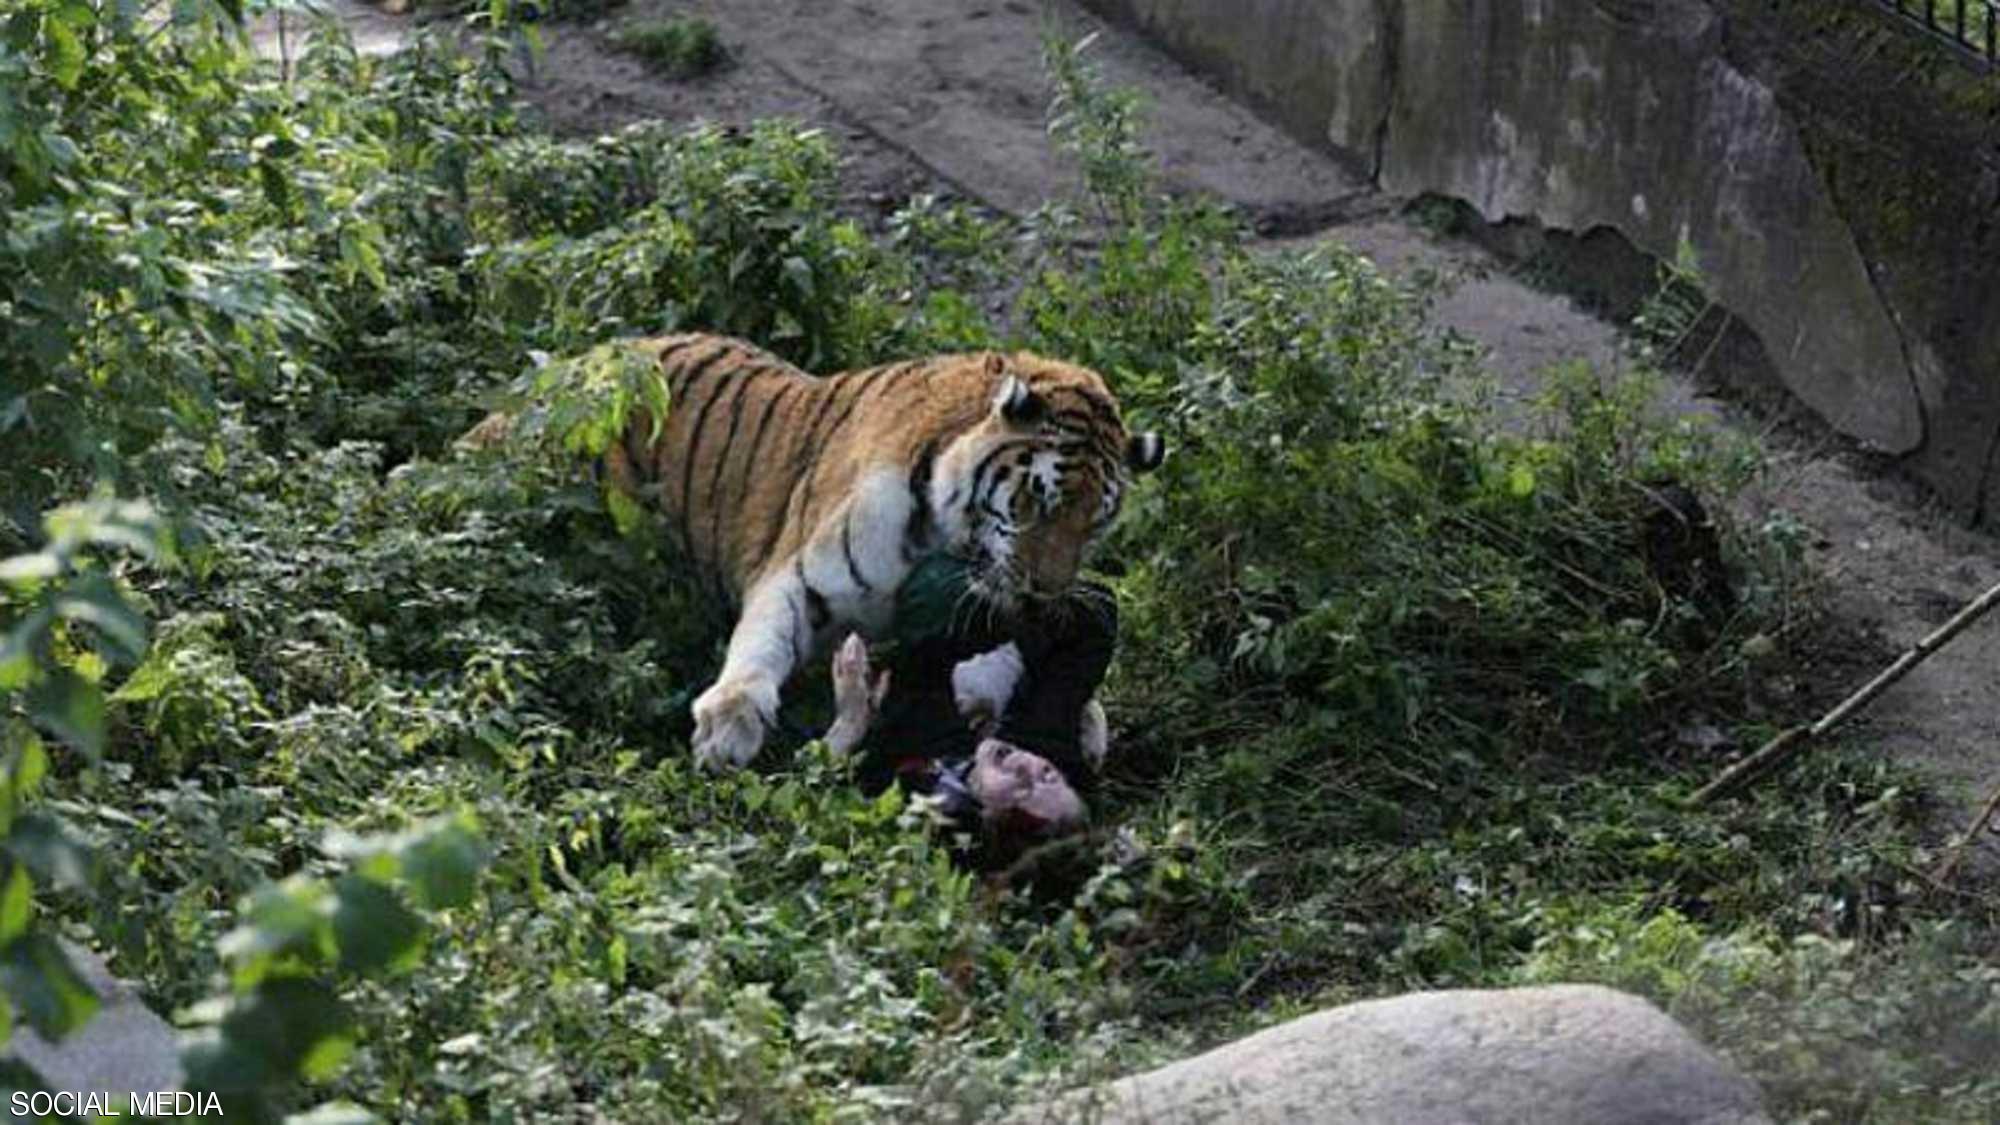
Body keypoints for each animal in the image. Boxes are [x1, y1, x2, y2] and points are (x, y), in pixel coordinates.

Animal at [469, 331, 1164, 771]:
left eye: (1093, 525)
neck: (948, 537)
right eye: (1036, 503)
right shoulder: (801, 574)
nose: (1043, 593)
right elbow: (762, 642)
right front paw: (728, 725)